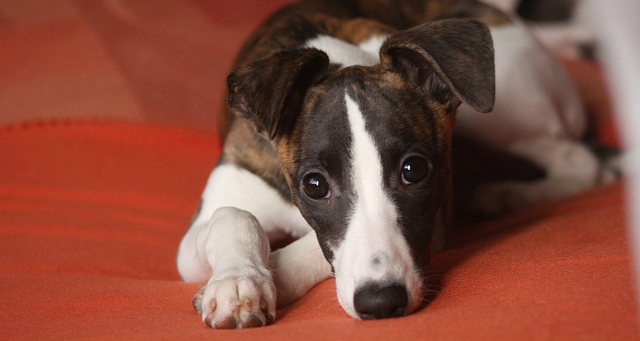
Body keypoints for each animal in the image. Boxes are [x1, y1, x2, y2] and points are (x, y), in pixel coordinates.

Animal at [175, 0, 616, 328]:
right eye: (315, 185)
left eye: (414, 170)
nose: (382, 303)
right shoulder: (204, 227)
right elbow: (234, 216)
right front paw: (237, 283)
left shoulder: (435, 221)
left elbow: (320, 247)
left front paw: (271, 276)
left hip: (500, 105)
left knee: (580, 160)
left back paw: (505, 194)